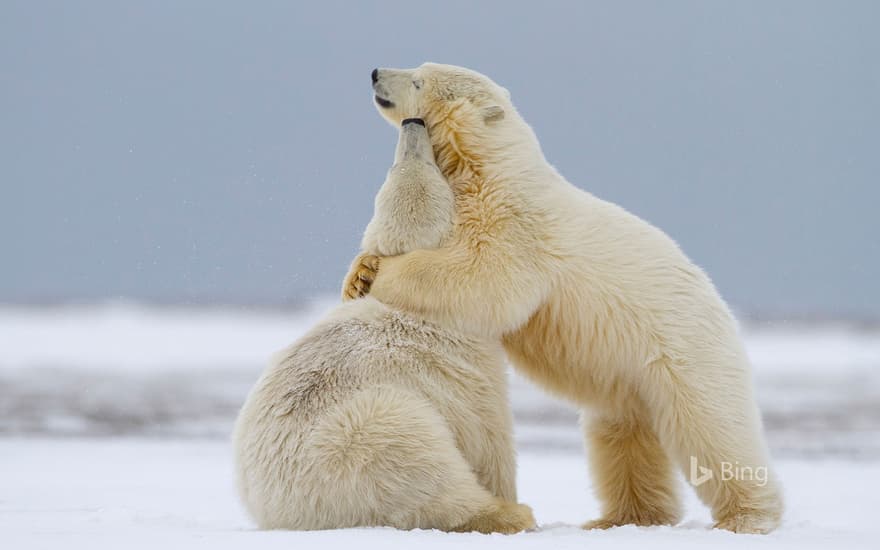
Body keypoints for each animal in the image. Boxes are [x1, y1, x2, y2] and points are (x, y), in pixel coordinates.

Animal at [234, 119, 532, 536]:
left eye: (395, 167)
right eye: (435, 173)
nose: (413, 122)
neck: (411, 304)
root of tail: (284, 511)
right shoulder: (469, 369)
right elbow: (490, 437)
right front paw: (509, 495)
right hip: (369, 436)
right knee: (424, 469)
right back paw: (507, 514)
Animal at [344, 63, 784, 536]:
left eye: (419, 80)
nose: (375, 72)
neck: (491, 167)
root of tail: (720, 304)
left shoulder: (515, 223)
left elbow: (487, 276)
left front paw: (384, 275)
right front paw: (358, 275)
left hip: (685, 352)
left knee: (713, 425)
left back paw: (746, 517)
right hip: (627, 379)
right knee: (620, 434)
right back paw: (621, 517)